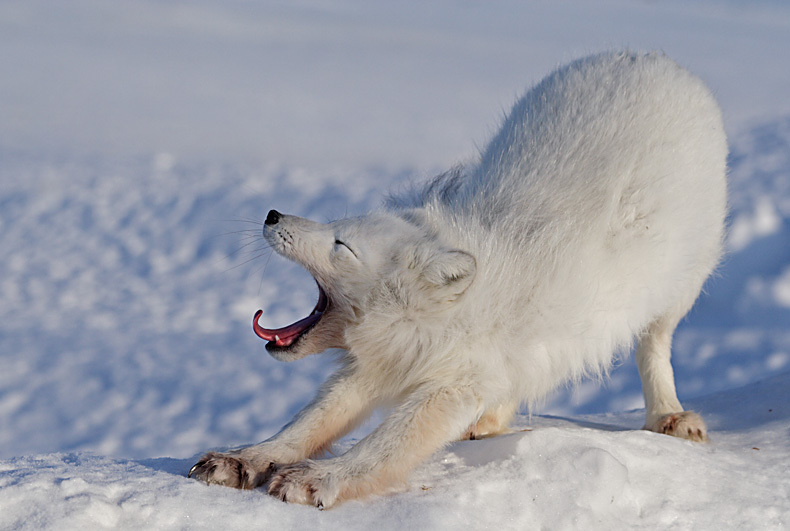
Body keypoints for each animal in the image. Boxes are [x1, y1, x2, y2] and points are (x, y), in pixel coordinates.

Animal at [190, 52, 732, 510]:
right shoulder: (379, 367)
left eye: (341, 245)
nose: (273, 214)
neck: (432, 319)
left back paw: (668, 415)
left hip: (677, 289)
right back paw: (490, 423)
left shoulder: (452, 384)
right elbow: (308, 422)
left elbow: (387, 444)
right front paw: (244, 459)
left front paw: (321, 478)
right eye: (333, 225)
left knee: (654, 346)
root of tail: (650, 57)